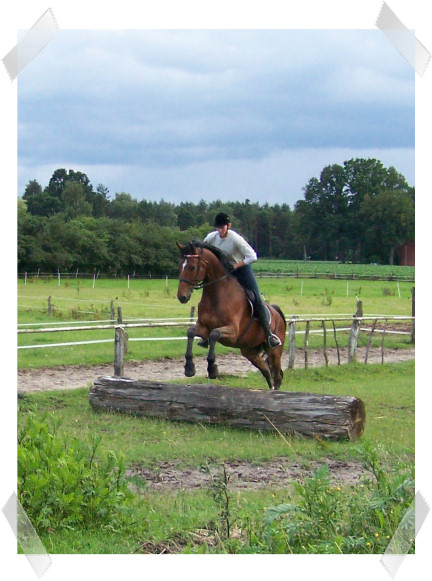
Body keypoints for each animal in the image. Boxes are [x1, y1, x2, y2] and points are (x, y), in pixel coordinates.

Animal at [176, 240, 286, 390]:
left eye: (192, 267)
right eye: (179, 266)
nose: (181, 296)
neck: (216, 295)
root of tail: (276, 312)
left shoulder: (232, 331)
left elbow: (214, 334)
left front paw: (212, 369)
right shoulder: (203, 327)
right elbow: (191, 332)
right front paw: (189, 368)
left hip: (274, 351)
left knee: (277, 375)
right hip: (249, 351)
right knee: (266, 371)